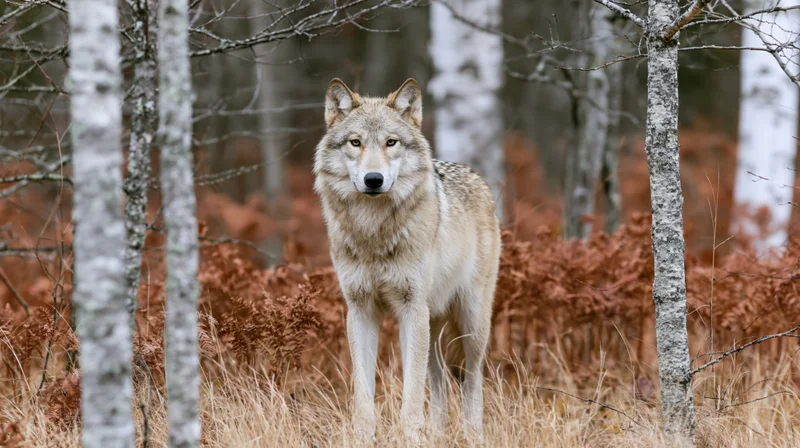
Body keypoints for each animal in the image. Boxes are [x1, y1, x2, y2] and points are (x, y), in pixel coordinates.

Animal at [313, 78, 501, 442]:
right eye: (355, 142)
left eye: (391, 142)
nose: (373, 179)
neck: (373, 231)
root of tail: (477, 176)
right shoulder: (360, 310)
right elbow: (363, 393)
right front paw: (364, 438)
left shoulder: (411, 308)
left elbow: (411, 395)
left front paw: (411, 437)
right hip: (433, 325)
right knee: (440, 384)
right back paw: (438, 435)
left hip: (470, 325)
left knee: (472, 380)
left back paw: (472, 436)